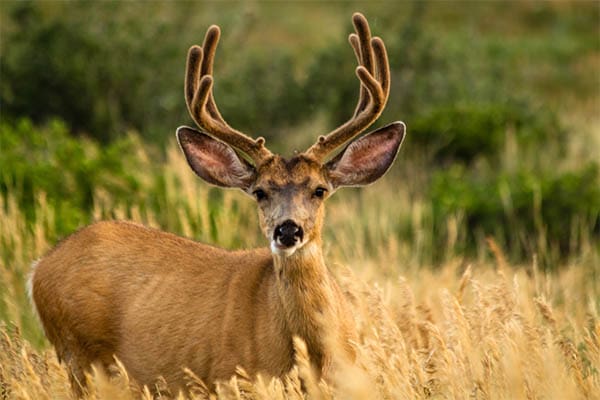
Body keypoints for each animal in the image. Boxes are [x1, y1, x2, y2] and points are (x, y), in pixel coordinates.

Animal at [28, 11, 406, 394]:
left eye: (319, 190)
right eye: (260, 191)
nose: (288, 231)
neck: (312, 352)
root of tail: (39, 268)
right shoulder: (233, 376)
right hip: (80, 353)